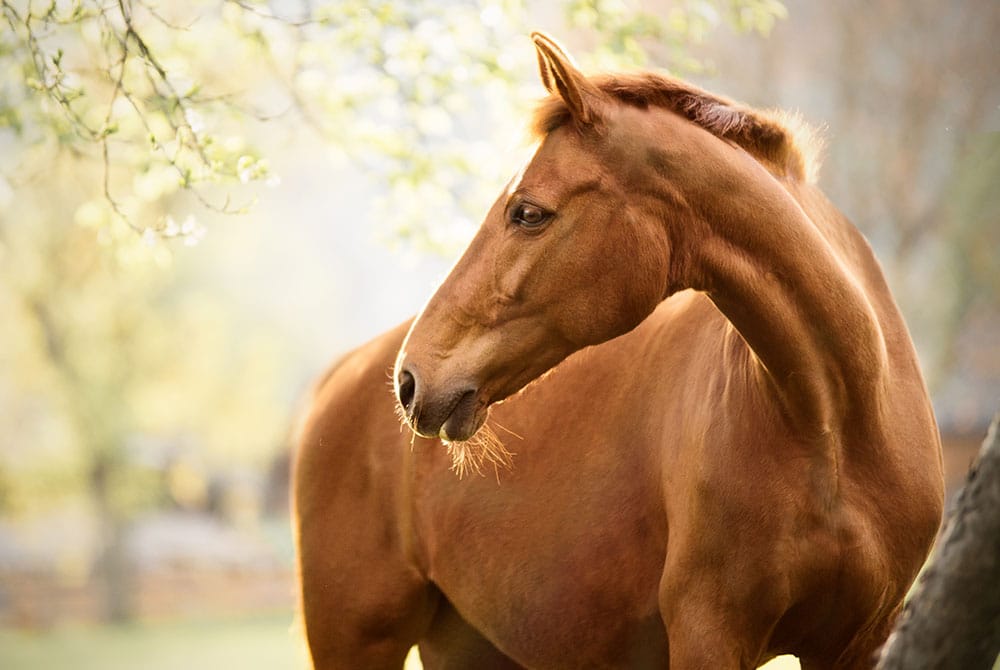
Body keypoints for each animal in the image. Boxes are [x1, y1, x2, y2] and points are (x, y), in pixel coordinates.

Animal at [294, 32, 944, 669]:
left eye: (527, 212)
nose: (411, 380)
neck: (834, 425)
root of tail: (342, 375)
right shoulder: (709, 632)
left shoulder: (859, 640)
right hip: (358, 641)